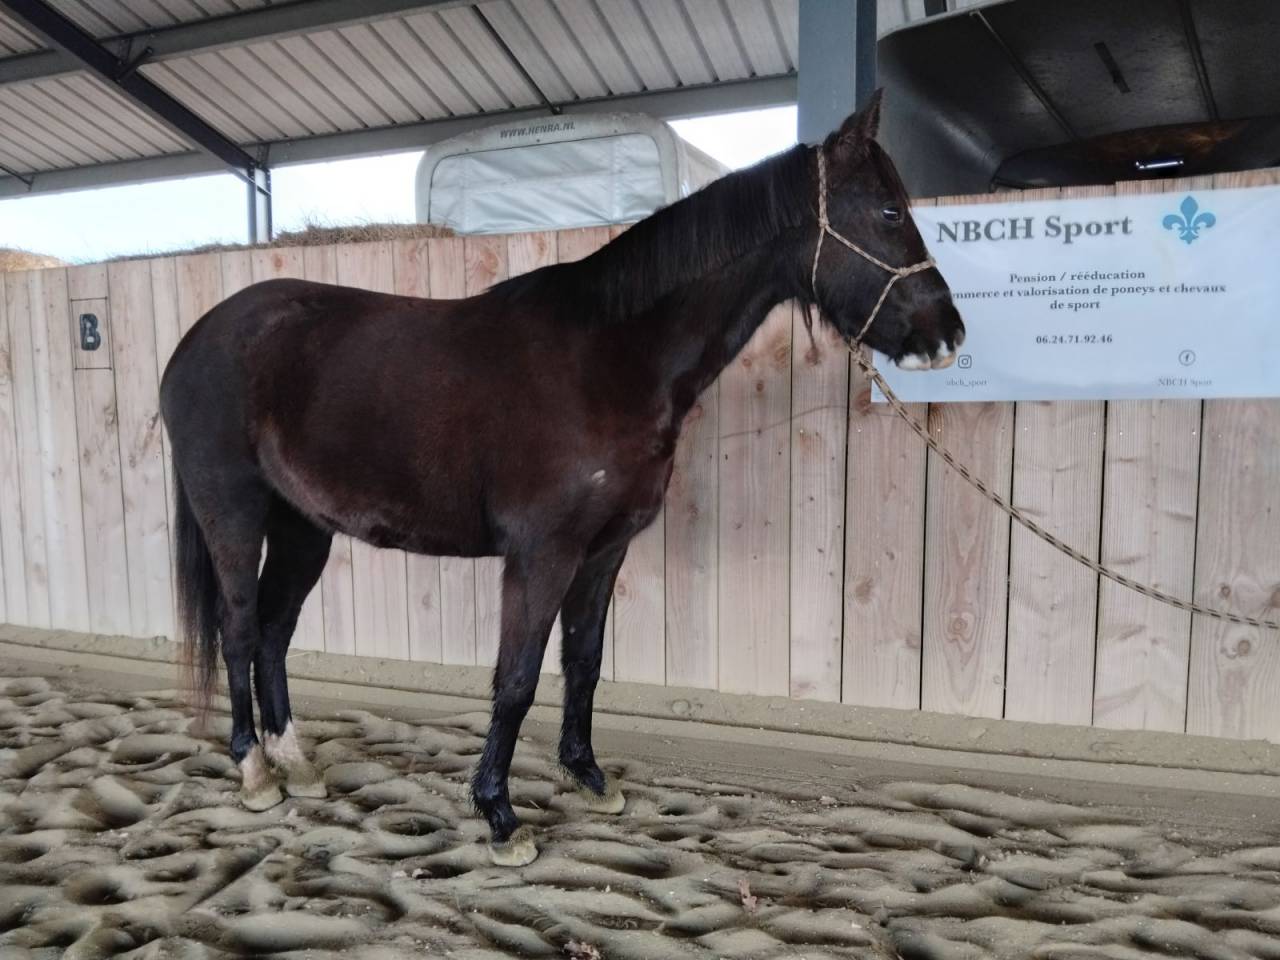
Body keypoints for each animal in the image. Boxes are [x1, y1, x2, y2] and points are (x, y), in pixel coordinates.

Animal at [159, 91, 964, 867]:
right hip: (234, 515)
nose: (947, 335)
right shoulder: (541, 553)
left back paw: (296, 763)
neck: (607, 357)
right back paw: (255, 772)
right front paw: (499, 817)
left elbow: (583, 661)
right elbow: (516, 679)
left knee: (272, 633)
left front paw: (590, 778)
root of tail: (194, 340)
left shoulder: (604, 549)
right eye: (890, 212)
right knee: (239, 630)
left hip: (304, 528)